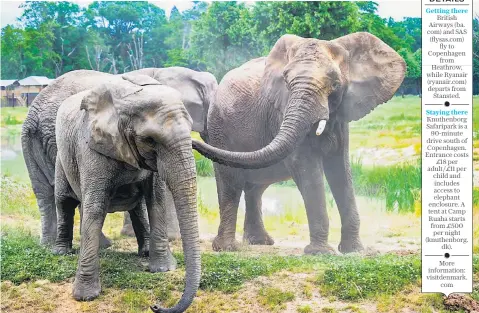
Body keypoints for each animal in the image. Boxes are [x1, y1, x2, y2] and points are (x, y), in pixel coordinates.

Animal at [20, 66, 218, 246]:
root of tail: (32, 116)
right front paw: (171, 238)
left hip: (33, 140)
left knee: (44, 192)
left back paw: (48, 244)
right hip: (58, 136)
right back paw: (101, 244)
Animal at [53, 71, 200, 312]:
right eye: (150, 140)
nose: (155, 306)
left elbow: (156, 199)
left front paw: (163, 269)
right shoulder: (91, 148)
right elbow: (95, 208)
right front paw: (85, 296)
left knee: (137, 207)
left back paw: (145, 251)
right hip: (61, 159)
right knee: (64, 202)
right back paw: (60, 252)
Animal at [190, 31, 404, 254]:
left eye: (335, 84)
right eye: (286, 81)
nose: (192, 142)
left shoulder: (341, 116)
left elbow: (340, 170)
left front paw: (354, 251)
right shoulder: (281, 111)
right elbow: (306, 168)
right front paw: (320, 253)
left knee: (255, 186)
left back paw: (259, 242)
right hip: (219, 127)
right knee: (231, 182)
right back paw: (227, 248)